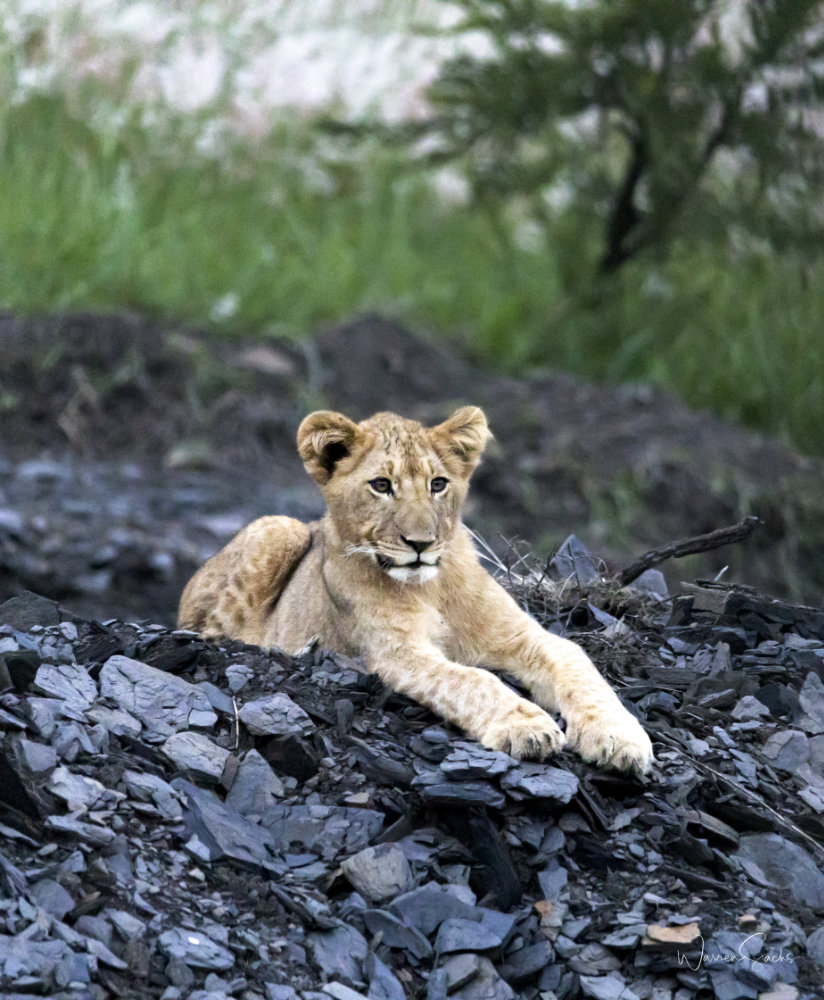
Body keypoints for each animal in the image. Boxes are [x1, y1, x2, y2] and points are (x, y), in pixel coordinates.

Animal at [178, 407, 653, 773]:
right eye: (381, 485)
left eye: (438, 484)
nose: (421, 544)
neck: (431, 588)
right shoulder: (396, 653)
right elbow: (472, 679)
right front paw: (528, 727)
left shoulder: (521, 634)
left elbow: (577, 662)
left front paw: (620, 739)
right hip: (280, 528)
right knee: (208, 628)